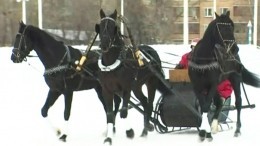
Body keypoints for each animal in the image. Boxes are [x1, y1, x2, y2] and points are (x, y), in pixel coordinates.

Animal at [95, 9, 165, 145]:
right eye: (100, 26)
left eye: (112, 27)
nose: (104, 44)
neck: (113, 63)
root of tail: (151, 51)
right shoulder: (107, 90)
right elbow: (110, 115)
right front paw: (108, 138)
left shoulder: (126, 88)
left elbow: (123, 112)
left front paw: (129, 132)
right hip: (137, 87)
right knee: (144, 101)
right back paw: (146, 128)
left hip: (151, 82)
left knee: (149, 104)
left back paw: (145, 131)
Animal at [188, 11, 260, 141]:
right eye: (221, 28)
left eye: (232, 26)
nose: (235, 48)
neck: (203, 60)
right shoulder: (197, 86)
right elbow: (203, 105)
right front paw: (204, 131)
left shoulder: (212, 84)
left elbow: (206, 106)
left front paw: (206, 131)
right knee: (219, 102)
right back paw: (215, 125)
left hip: (235, 78)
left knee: (238, 102)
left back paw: (237, 130)